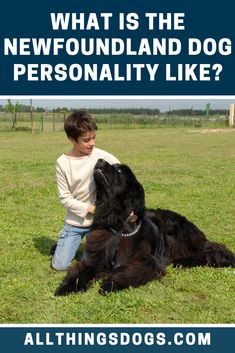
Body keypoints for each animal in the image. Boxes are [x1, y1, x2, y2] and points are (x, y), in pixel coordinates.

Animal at [55, 160, 235, 294]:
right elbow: (81, 271)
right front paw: (66, 287)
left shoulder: (147, 262)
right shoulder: (95, 256)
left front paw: (109, 285)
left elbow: (126, 273)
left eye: (118, 170)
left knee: (205, 254)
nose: (99, 160)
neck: (118, 223)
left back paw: (183, 262)